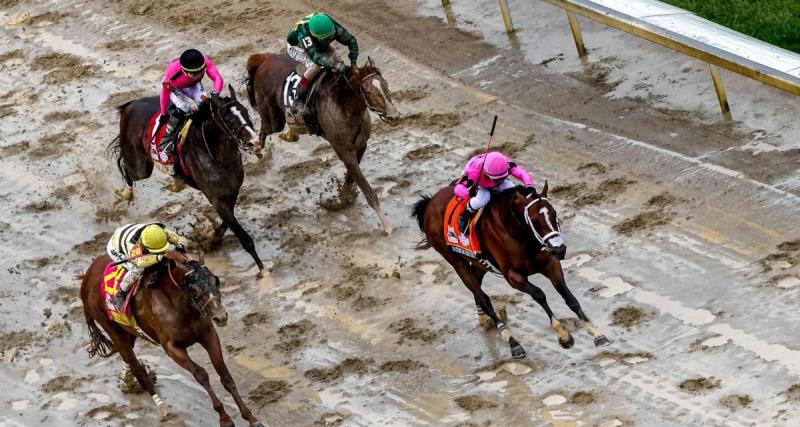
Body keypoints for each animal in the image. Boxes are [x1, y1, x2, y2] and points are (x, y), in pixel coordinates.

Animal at [80, 252, 262, 426]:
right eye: (194, 288)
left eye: (216, 281)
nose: (221, 316)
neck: (179, 304)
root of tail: (86, 278)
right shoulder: (172, 348)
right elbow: (201, 375)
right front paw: (224, 417)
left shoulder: (208, 335)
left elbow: (225, 376)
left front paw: (250, 417)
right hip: (113, 329)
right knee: (135, 366)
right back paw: (162, 407)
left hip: (128, 330)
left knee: (127, 358)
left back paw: (127, 381)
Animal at [109, 86, 264, 270]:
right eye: (228, 119)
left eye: (246, 111)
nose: (255, 142)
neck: (219, 156)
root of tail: (130, 105)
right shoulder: (215, 198)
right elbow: (242, 236)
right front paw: (263, 270)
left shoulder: (232, 191)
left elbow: (227, 222)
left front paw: (211, 238)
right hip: (140, 166)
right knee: (127, 169)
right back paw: (126, 193)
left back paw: (175, 182)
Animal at [242, 54, 396, 236]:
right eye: (368, 91)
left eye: (386, 85)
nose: (393, 115)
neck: (344, 105)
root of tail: (265, 59)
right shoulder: (344, 152)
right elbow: (367, 190)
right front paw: (387, 226)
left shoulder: (361, 146)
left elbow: (351, 178)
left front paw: (342, 199)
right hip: (273, 119)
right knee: (264, 131)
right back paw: (258, 150)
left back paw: (290, 134)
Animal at [410, 182, 608, 360]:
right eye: (535, 220)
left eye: (554, 213)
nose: (560, 249)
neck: (517, 233)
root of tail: (430, 202)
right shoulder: (513, 276)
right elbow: (539, 294)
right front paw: (563, 335)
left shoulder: (551, 265)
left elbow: (569, 297)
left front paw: (596, 333)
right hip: (456, 261)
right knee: (483, 297)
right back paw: (512, 342)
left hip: (480, 263)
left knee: (478, 289)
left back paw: (484, 320)